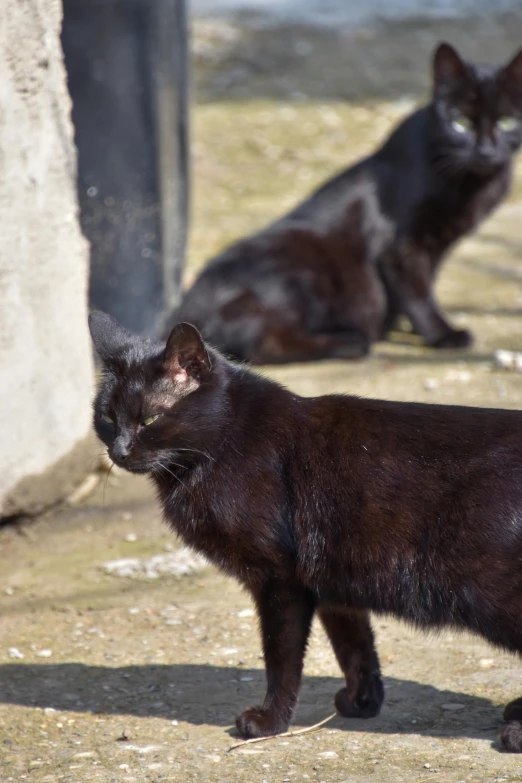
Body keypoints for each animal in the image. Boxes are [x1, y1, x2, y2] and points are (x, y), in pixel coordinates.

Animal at [89, 308, 522, 752]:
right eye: (107, 418)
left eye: (150, 419)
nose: (118, 450)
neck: (222, 442)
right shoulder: (334, 578)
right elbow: (354, 647)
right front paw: (362, 701)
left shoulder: (279, 579)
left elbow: (281, 659)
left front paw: (270, 721)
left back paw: (516, 732)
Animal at [172, 41, 522, 362]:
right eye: (461, 122)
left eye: (507, 123)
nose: (486, 150)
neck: (471, 184)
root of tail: (185, 310)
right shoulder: (401, 246)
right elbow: (419, 292)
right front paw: (442, 334)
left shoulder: (437, 246)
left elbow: (424, 285)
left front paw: (406, 325)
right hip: (304, 267)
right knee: (264, 343)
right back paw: (351, 341)